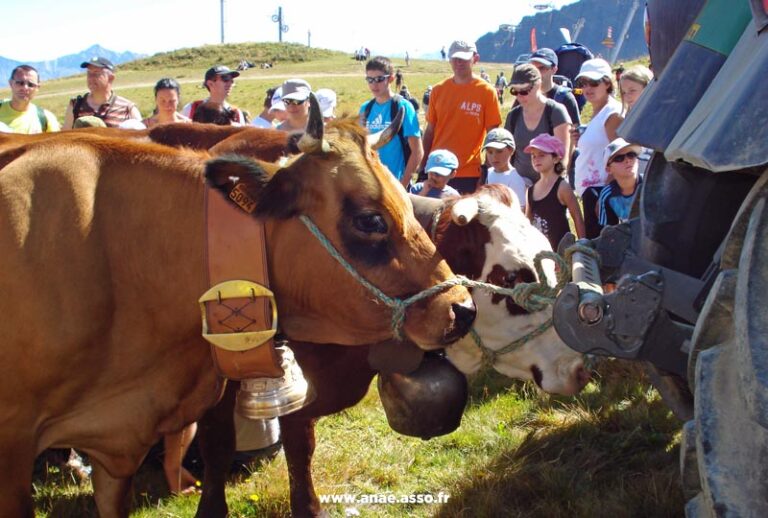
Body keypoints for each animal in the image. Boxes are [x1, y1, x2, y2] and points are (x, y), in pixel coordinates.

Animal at [0, 100, 474, 516]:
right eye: (370, 219)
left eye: (407, 199)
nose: (462, 308)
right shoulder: (15, 444)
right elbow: (219, 445)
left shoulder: (118, 446)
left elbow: (298, 442)